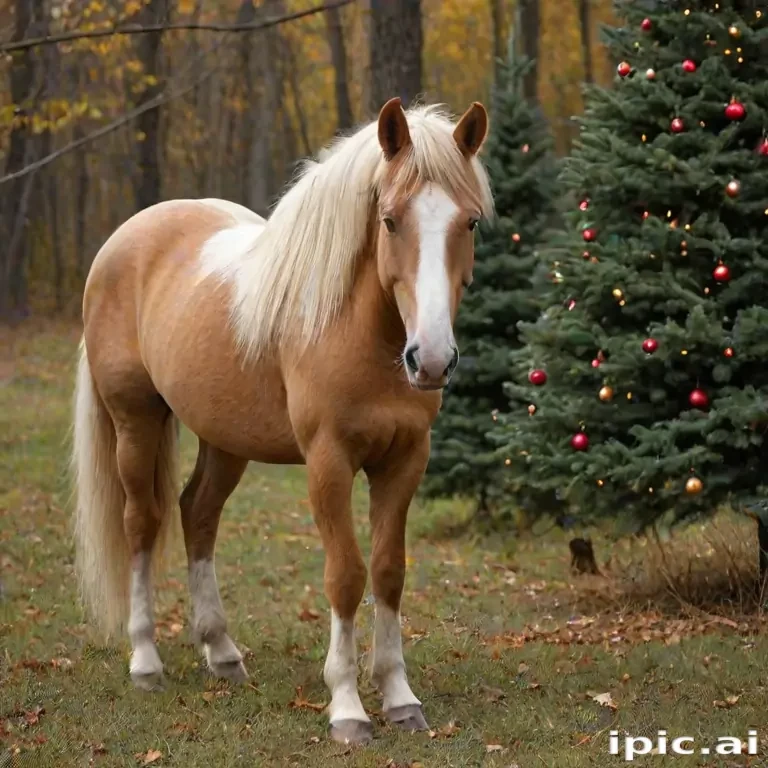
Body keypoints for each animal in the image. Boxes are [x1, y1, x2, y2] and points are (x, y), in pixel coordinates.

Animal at [71, 97, 493, 744]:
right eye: (390, 220)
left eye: (468, 223)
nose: (431, 359)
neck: (358, 331)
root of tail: (122, 241)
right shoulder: (328, 462)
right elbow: (345, 575)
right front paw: (347, 707)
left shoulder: (405, 459)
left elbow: (388, 571)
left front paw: (399, 697)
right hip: (134, 422)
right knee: (141, 522)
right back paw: (145, 661)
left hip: (224, 440)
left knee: (197, 514)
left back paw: (222, 652)